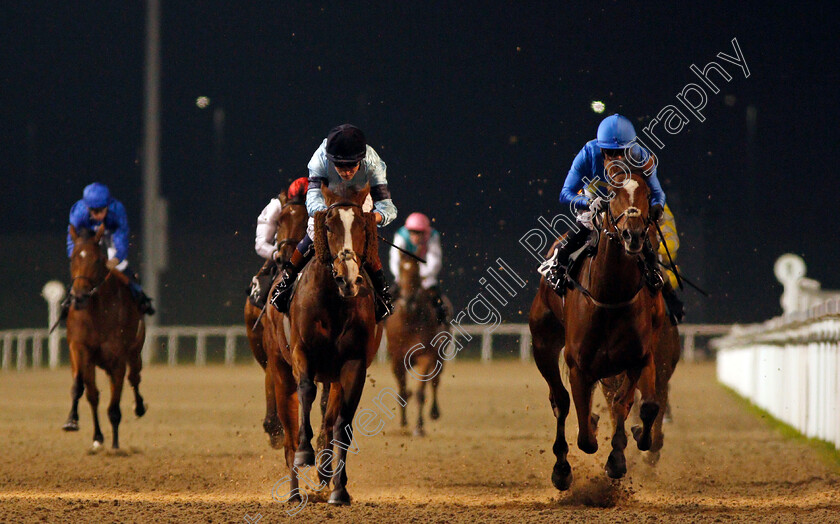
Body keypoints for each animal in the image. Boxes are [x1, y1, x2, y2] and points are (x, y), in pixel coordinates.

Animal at [63, 225, 147, 450]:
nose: (79, 296)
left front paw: (115, 444)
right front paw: (88, 431)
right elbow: (87, 392)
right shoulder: (80, 349)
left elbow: (115, 406)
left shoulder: (118, 358)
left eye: (97, 260)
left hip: (135, 351)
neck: (97, 312)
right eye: (73, 258)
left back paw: (139, 407)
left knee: (134, 377)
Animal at [264, 186, 382, 506]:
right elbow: (306, 391)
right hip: (279, 369)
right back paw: (294, 490)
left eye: (362, 226)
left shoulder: (353, 365)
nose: (348, 277)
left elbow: (342, 425)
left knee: (329, 423)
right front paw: (307, 453)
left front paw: (339, 488)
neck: (334, 303)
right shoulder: (301, 353)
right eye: (327, 226)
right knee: (289, 431)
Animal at [384, 252, 442, 436]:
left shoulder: (427, 356)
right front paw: (403, 422)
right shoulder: (396, 359)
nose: (408, 301)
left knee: (435, 382)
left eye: (417, 272)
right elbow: (403, 391)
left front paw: (419, 427)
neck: (409, 320)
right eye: (401, 269)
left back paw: (434, 412)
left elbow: (420, 392)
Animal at [532, 173, 668, 492]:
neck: (610, 296)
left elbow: (634, 405)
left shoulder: (639, 357)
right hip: (542, 344)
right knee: (560, 401)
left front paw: (619, 456)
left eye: (647, 195)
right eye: (613, 194)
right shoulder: (579, 366)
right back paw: (561, 468)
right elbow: (585, 438)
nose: (633, 235)